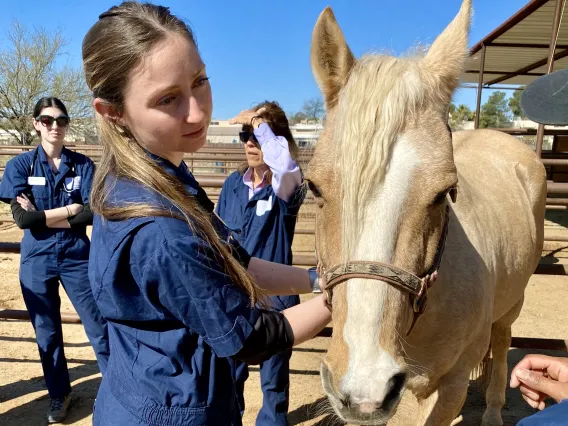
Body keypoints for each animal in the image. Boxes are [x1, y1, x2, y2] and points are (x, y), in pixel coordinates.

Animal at [308, 0, 548, 426]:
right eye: (314, 187)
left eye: (442, 194)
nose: (365, 385)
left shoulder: (452, 385)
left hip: (512, 305)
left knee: (503, 342)